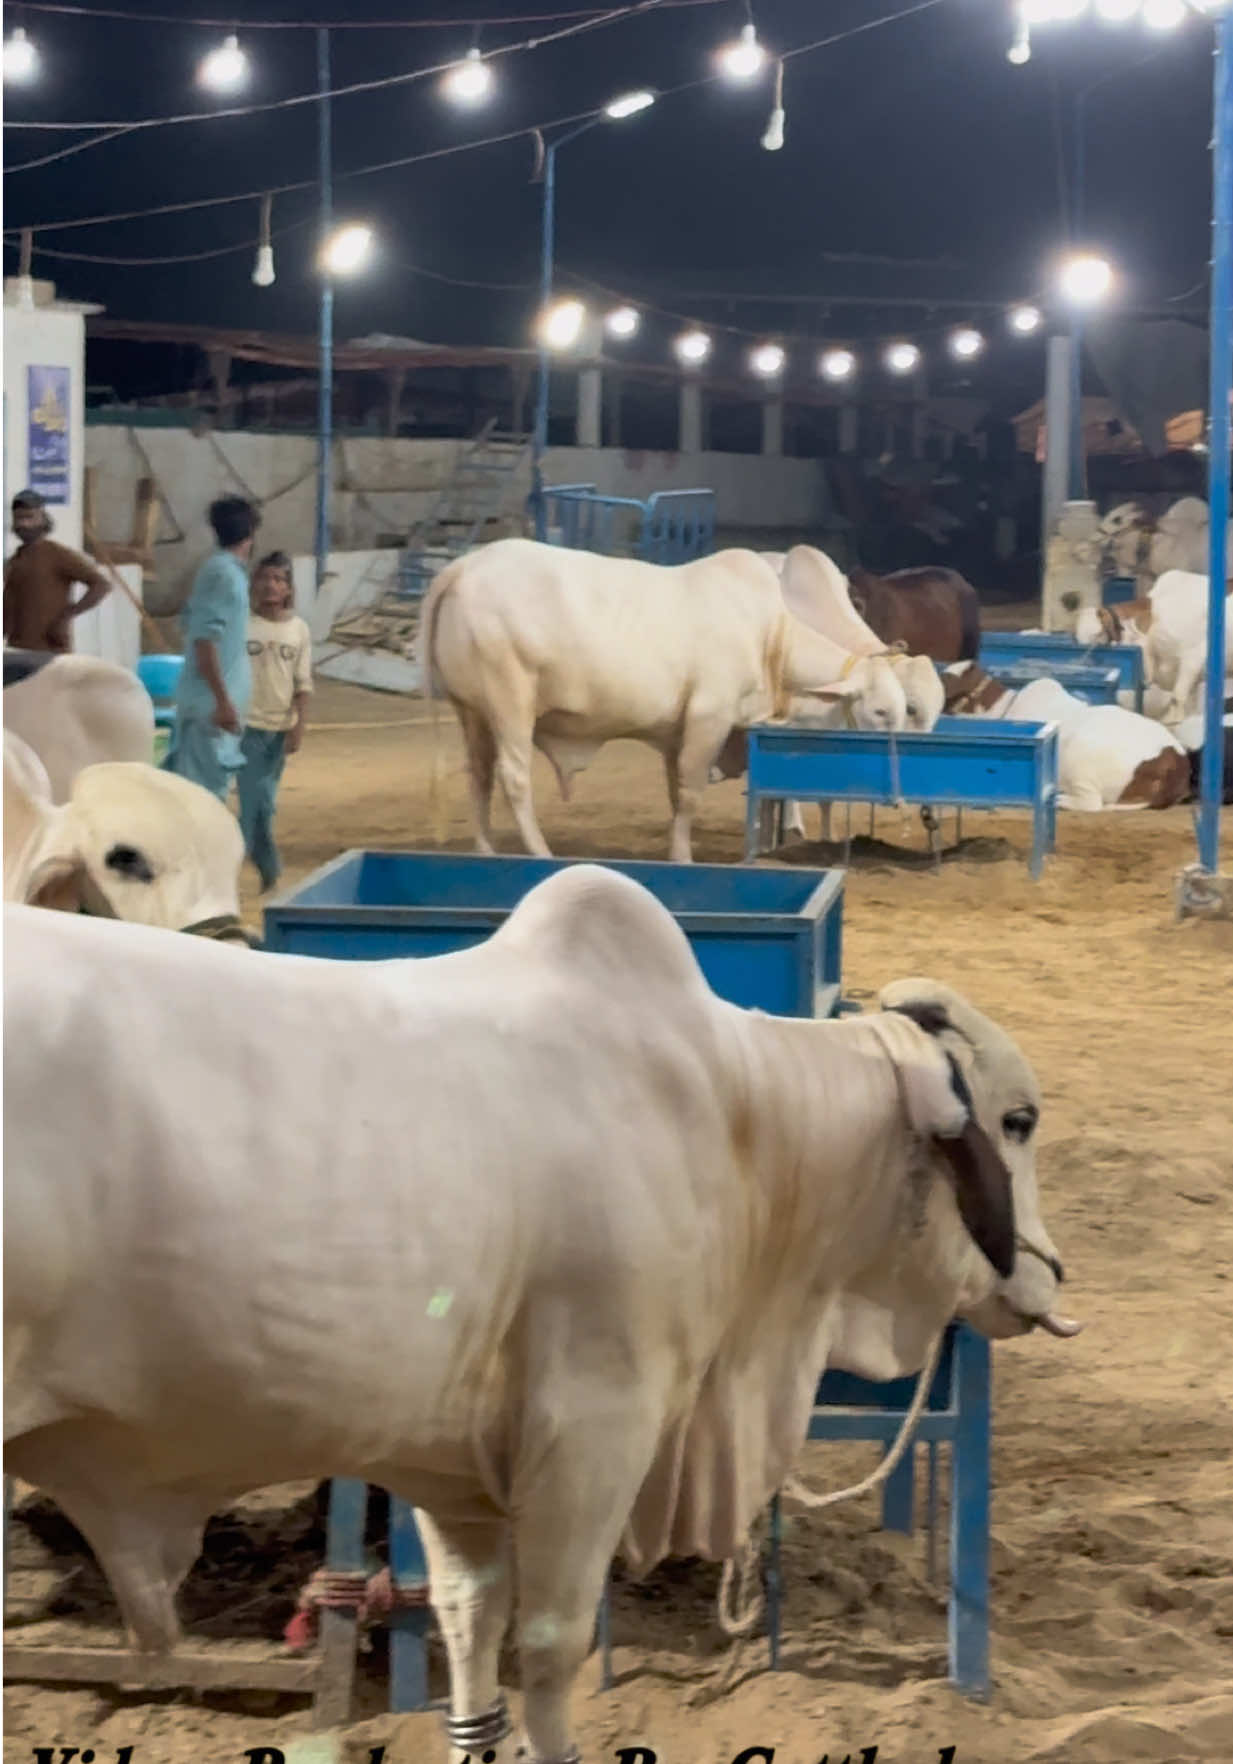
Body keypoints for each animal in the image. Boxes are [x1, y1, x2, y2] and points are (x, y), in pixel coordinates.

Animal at [4, 866, 1077, 1764]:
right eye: (1017, 1120)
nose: (1051, 1276)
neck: (738, 1113)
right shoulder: (595, 1427)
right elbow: (553, 1651)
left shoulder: (446, 1469)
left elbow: (469, 1627)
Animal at [419, 539, 907, 864]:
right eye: (880, 711)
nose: (900, 795)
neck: (771, 634)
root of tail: (463, 567)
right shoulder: (709, 719)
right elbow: (690, 795)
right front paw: (683, 859)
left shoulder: (677, 733)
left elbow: (675, 795)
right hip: (510, 700)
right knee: (514, 778)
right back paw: (540, 852)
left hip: (472, 710)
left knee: (479, 776)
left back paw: (485, 849)